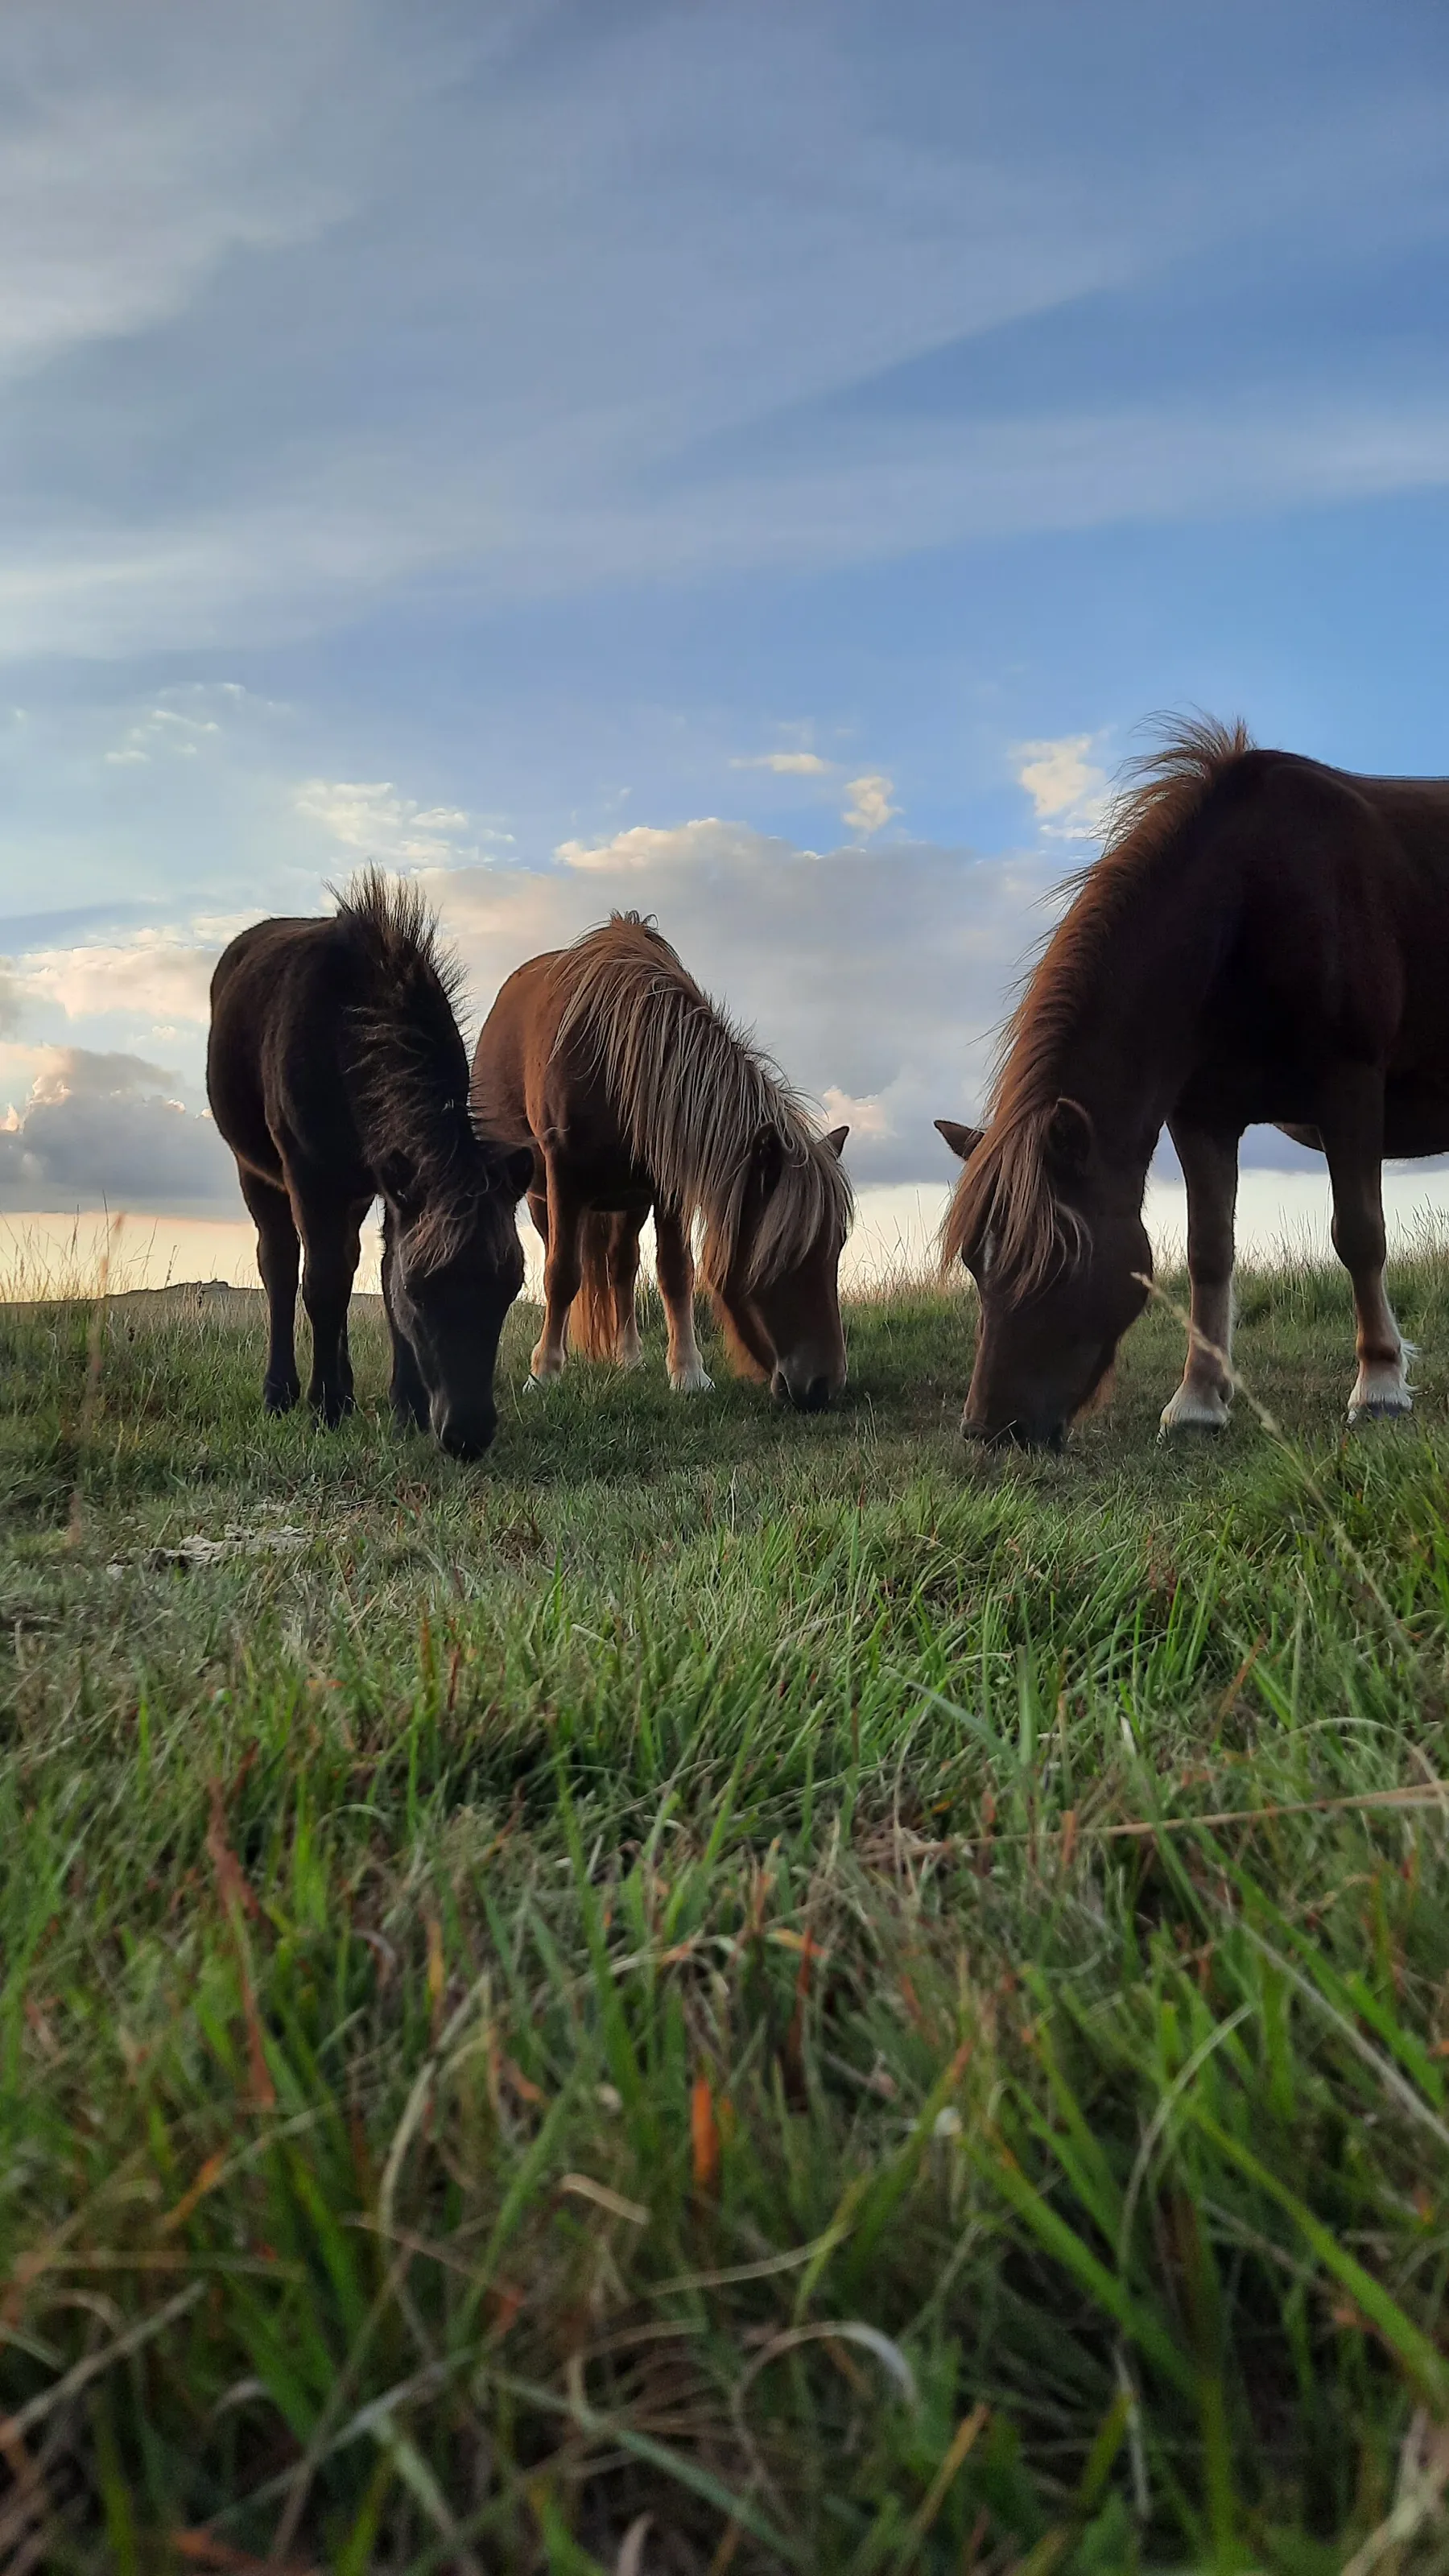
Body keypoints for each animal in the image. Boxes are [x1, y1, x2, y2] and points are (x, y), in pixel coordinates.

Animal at [207, 872, 534, 1457]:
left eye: (509, 1287)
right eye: (421, 1293)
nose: (468, 1434)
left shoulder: (388, 1183)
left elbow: (377, 1271)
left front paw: (406, 1406)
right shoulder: (309, 1173)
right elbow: (322, 1283)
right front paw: (326, 1405)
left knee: (345, 1257)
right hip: (257, 1172)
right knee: (283, 1265)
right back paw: (284, 1391)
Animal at [468, 912, 853, 1409]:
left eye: (838, 1246)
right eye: (783, 1252)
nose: (825, 1385)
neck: (612, 1053)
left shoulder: (668, 1186)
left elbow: (674, 1272)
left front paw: (688, 1371)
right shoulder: (564, 1177)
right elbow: (562, 1274)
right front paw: (544, 1372)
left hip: (627, 1200)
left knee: (621, 1266)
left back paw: (629, 1356)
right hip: (541, 1196)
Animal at [938, 717, 1449, 1448]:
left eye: (1056, 1261)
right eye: (976, 1261)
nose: (988, 1429)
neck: (1250, 903)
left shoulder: (1350, 1088)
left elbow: (1359, 1235)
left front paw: (1379, 1384)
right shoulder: (1203, 1116)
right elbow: (1210, 1253)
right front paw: (1199, 1400)